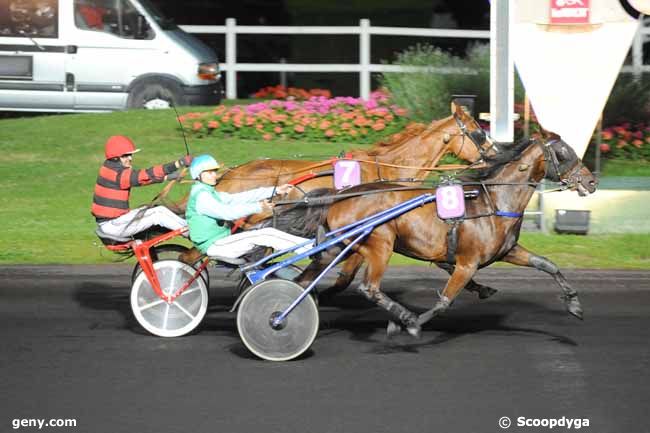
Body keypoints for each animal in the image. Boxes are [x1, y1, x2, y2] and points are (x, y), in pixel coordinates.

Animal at [294, 135, 596, 338]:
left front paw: (575, 304)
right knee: (368, 287)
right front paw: (411, 324)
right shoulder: (467, 262)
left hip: (336, 248)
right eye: (564, 152)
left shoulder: (507, 250)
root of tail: (340, 196)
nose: (591, 181)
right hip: (380, 244)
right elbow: (445, 301)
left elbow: (547, 264)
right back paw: (402, 315)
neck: (493, 201)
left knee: (306, 281)